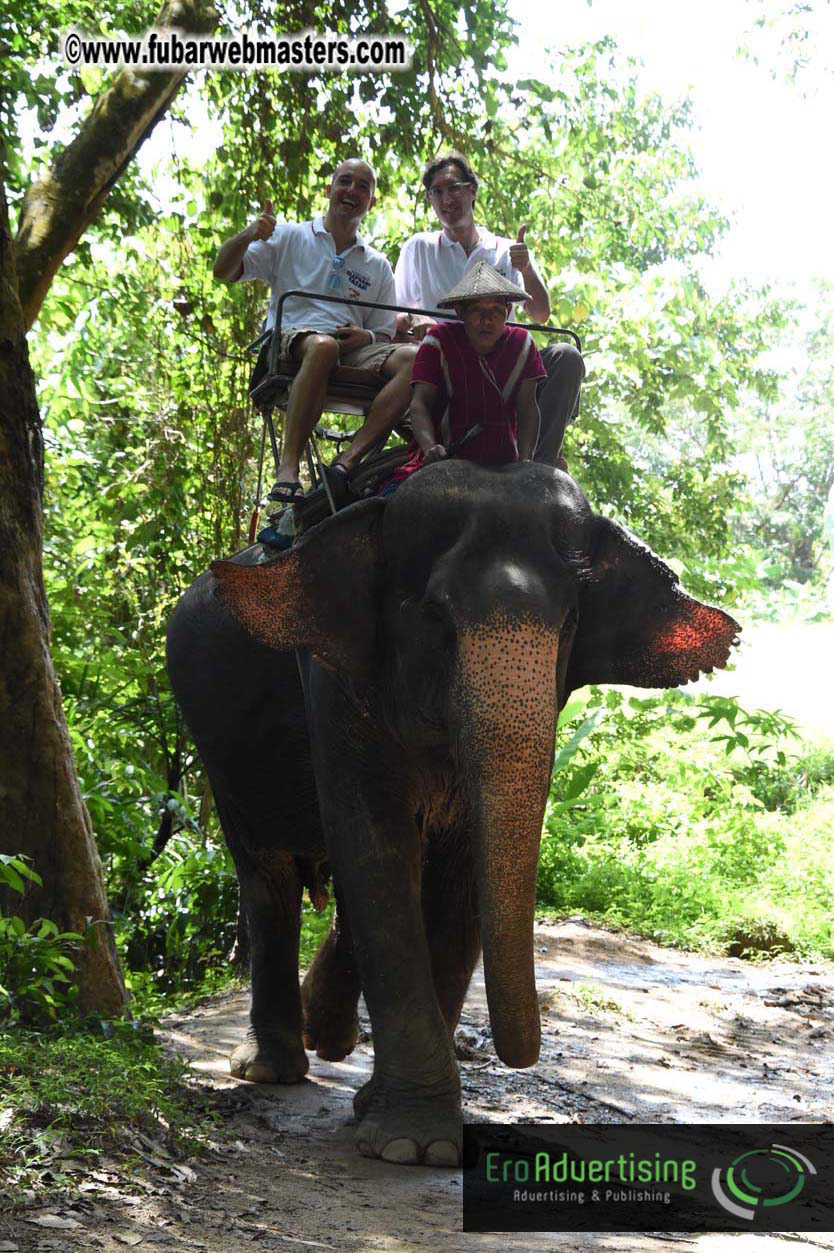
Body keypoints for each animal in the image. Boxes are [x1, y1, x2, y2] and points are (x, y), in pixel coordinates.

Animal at [166, 460, 739, 1167]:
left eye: (572, 622)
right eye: (436, 617)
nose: (519, 1056)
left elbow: (459, 868)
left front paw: (394, 1122)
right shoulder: (334, 680)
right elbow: (377, 851)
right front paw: (413, 1146)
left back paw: (329, 1040)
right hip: (216, 744)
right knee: (267, 876)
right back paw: (272, 1068)